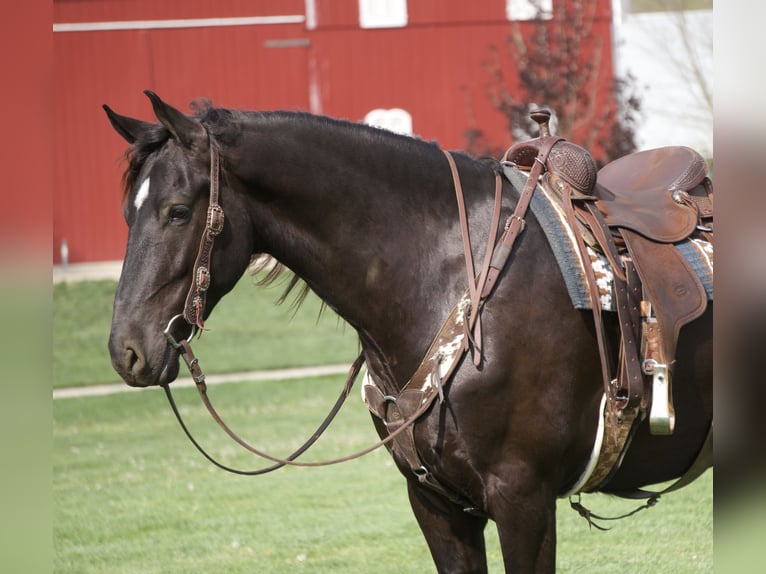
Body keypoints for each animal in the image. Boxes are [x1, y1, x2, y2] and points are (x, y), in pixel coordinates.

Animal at [105, 92, 712, 573]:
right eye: (127, 214)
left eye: (178, 211)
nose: (125, 350)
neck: (451, 276)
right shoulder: (436, 504)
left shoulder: (524, 499)